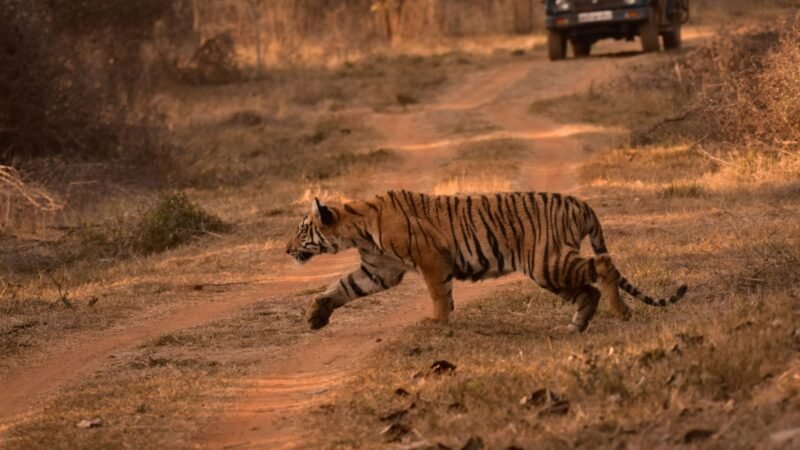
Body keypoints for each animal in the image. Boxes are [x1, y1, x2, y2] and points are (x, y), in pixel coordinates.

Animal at [285, 190, 687, 332]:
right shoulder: (379, 270)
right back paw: (577, 325)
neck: (355, 228)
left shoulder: (431, 260)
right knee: (588, 290)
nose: (286, 250)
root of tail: (580, 202)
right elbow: (342, 287)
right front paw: (316, 315)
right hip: (550, 270)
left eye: (301, 229)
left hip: (546, 261)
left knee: (603, 269)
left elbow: (438, 294)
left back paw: (621, 313)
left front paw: (437, 322)